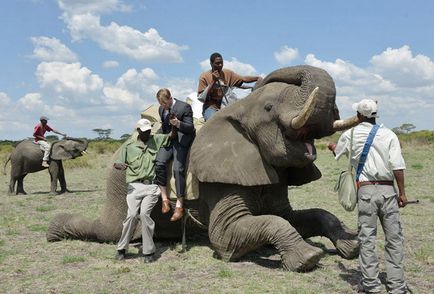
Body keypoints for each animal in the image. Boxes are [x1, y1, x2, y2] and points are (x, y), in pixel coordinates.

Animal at [46, 65, 360, 272]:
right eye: (269, 108)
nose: (255, 80)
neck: (237, 116)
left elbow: (300, 215)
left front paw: (352, 247)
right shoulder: (221, 179)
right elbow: (228, 236)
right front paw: (308, 258)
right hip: (118, 180)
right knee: (109, 230)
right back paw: (53, 231)